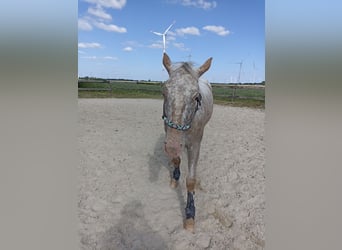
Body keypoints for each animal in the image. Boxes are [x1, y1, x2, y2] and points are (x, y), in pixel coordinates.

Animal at [161, 53, 214, 232]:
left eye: (196, 96)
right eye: (164, 92)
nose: (172, 146)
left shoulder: (194, 145)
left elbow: (191, 181)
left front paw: (190, 214)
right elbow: (176, 159)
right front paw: (175, 178)